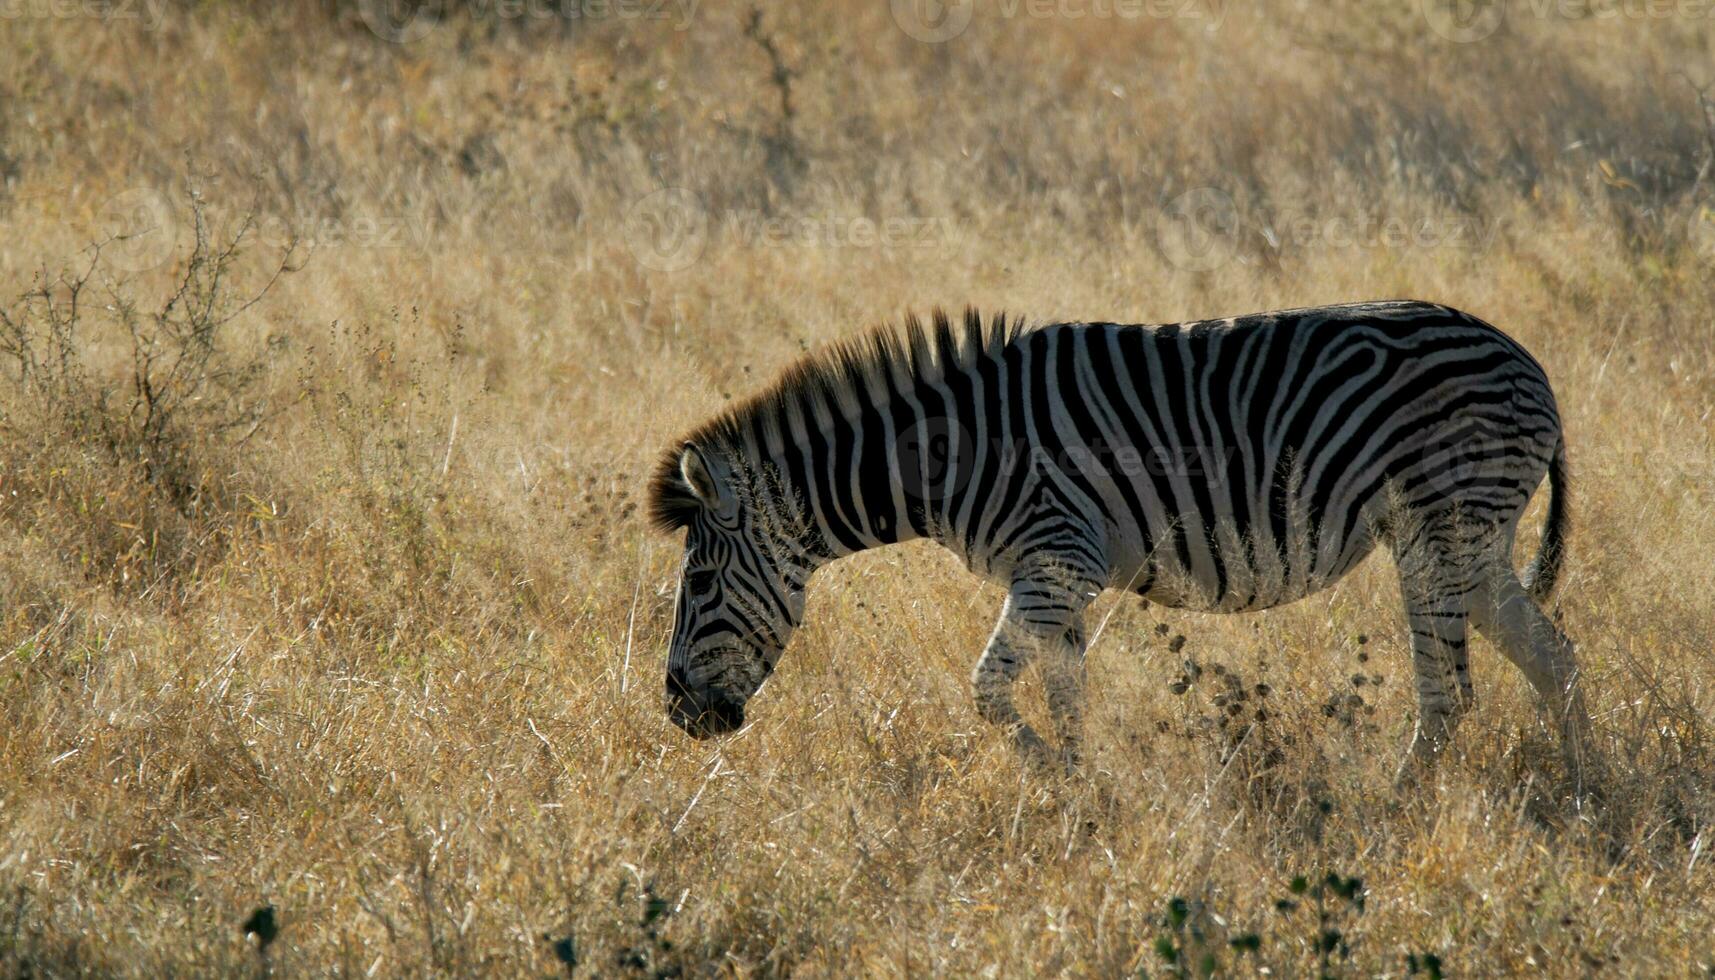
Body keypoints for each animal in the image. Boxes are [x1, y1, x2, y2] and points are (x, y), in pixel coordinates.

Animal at [644, 303, 1591, 786]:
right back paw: (1586, 790)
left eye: (698, 585)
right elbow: (1067, 698)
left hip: (1439, 530)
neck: (951, 455)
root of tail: (1528, 363)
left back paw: (1393, 807)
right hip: (1472, 544)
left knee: (1452, 693)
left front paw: (1058, 782)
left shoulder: (1055, 563)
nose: (678, 714)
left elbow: (986, 690)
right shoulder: (1055, 579)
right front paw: (1085, 801)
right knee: (1554, 656)